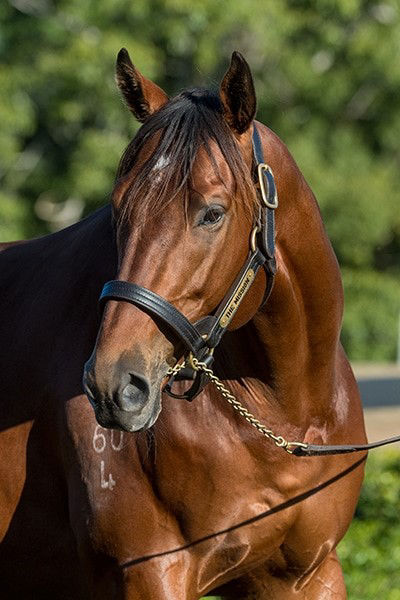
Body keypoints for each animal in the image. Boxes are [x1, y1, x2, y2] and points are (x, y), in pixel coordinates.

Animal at [0, 49, 367, 599]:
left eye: (212, 214)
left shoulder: (308, 574)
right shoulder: (150, 575)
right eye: (118, 208)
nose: (114, 384)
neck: (283, 417)